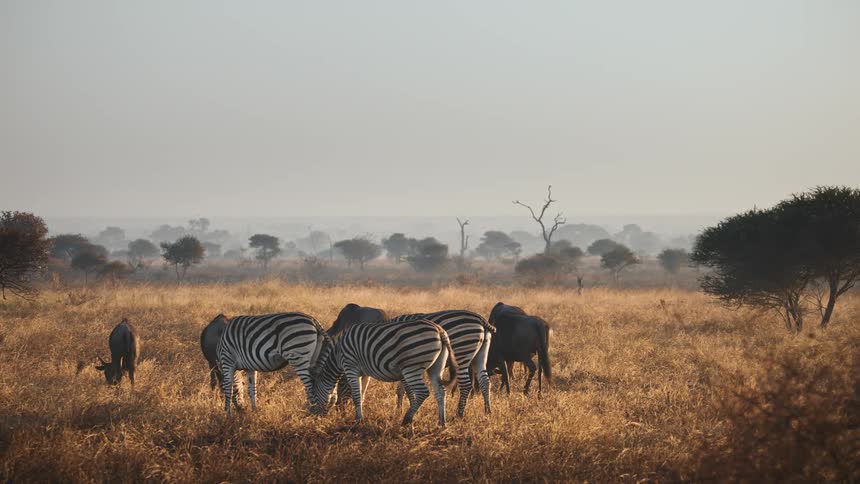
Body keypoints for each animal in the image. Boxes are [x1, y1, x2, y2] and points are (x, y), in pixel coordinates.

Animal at [310, 319, 457, 426]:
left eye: (313, 397)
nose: (313, 418)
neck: (338, 355)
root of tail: (439, 330)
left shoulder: (350, 366)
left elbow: (356, 395)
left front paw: (358, 420)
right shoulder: (365, 373)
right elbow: (361, 395)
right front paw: (360, 416)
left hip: (411, 367)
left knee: (423, 392)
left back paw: (407, 419)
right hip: (436, 367)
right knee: (440, 391)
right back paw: (441, 422)